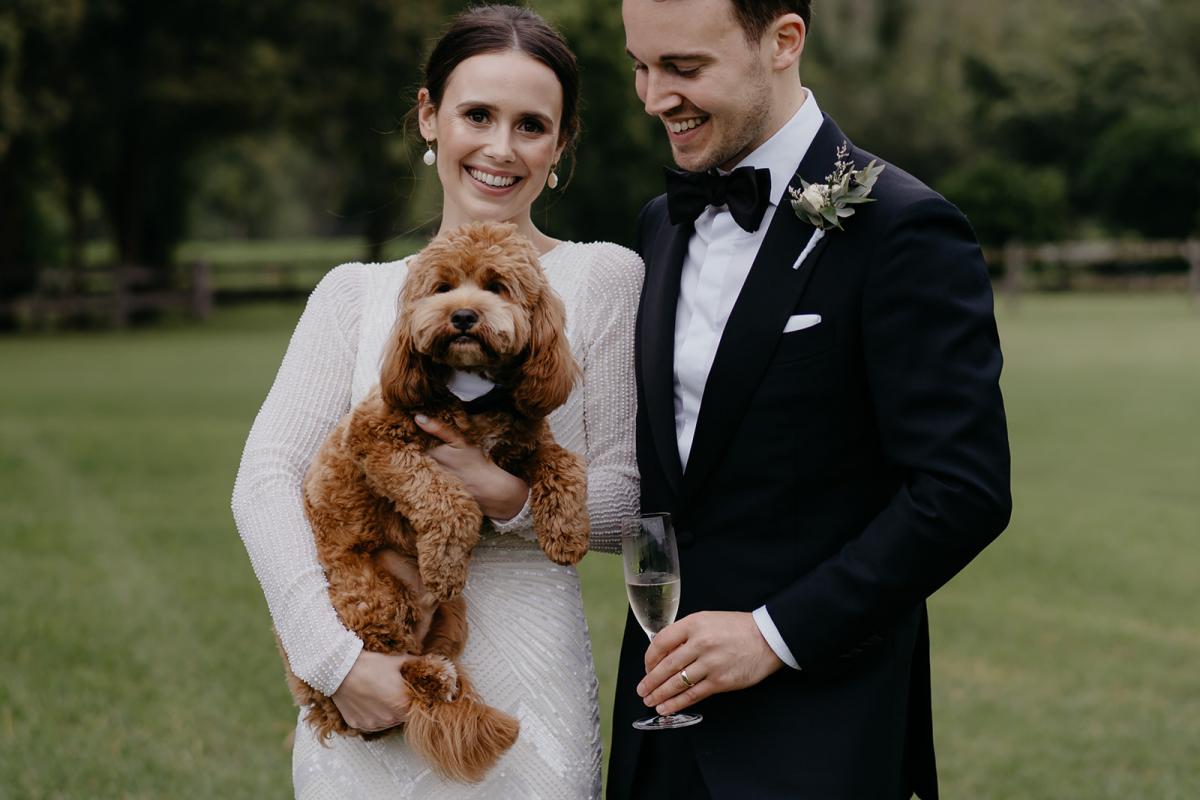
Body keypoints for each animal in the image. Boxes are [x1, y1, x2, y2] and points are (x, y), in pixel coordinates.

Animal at [286, 221, 595, 786]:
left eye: (496, 286)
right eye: (443, 287)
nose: (464, 316)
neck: (471, 393)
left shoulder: (524, 442)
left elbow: (565, 465)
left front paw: (566, 531)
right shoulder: (378, 438)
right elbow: (447, 497)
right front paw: (446, 560)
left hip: (454, 617)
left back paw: (443, 676)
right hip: (369, 594)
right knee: (381, 674)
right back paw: (430, 676)